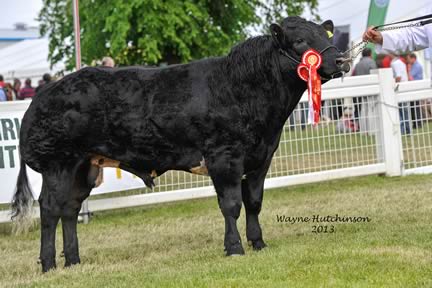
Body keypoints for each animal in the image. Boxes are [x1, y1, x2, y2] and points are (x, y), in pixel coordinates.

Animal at [11, 16, 350, 272]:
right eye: (300, 41)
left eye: (324, 33)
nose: (341, 59)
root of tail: (43, 95)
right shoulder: (223, 157)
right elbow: (231, 204)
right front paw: (234, 247)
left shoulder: (261, 157)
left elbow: (253, 201)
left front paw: (258, 243)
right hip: (59, 164)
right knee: (50, 208)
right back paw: (49, 265)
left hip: (85, 166)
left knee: (69, 209)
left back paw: (74, 262)